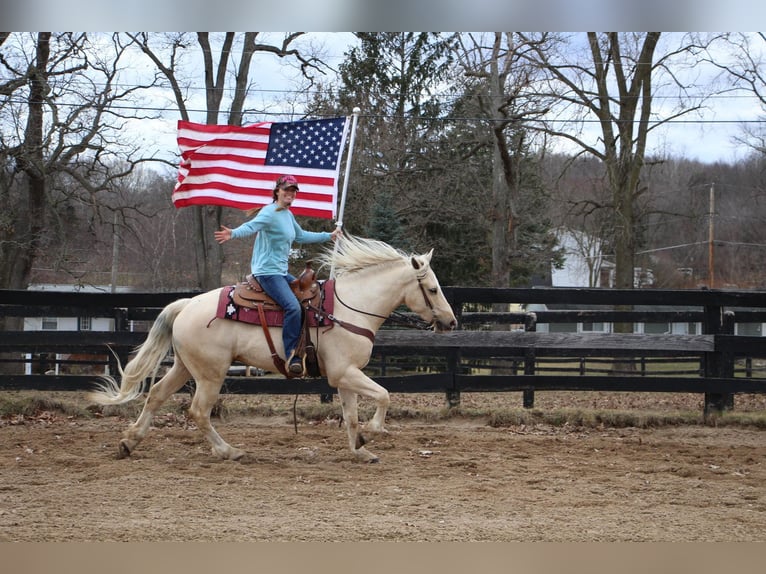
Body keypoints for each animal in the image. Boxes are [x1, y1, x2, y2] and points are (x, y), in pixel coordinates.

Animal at [87, 236, 460, 466]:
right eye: (432, 289)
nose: (451, 321)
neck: (350, 308)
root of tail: (187, 304)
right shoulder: (345, 373)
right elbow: (384, 395)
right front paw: (372, 433)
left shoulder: (345, 377)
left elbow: (352, 415)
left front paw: (360, 450)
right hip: (210, 374)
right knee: (198, 411)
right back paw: (229, 451)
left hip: (184, 366)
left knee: (156, 396)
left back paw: (129, 442)